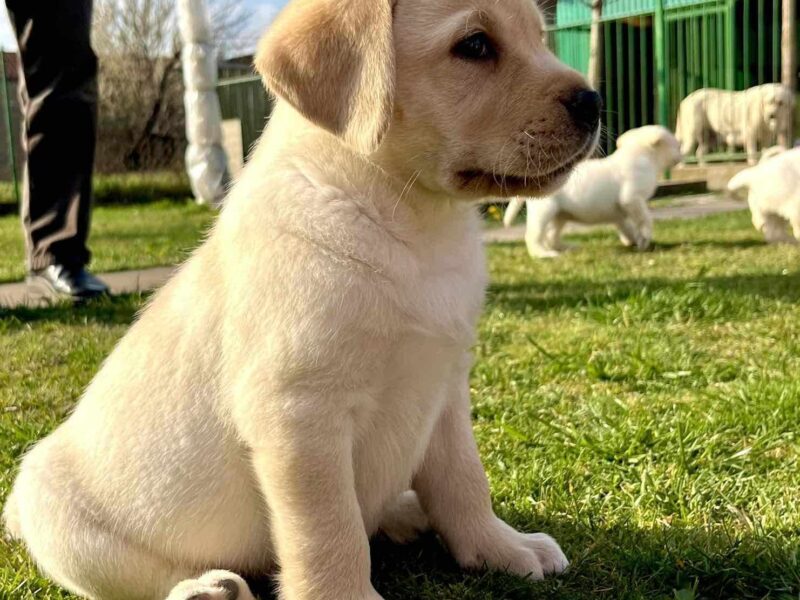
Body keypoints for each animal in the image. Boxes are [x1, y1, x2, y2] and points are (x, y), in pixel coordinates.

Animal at [1, 1, 600, 600]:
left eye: (539, 37)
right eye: (474, 45)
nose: (593, 102)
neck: (407, 224)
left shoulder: (444, 388)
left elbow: (463, 482)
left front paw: (500, 547)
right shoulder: (299, 414)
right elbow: (329, 530)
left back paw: (404, 512)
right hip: (65, 523)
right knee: (148, 577)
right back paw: (208, 588)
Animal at [504, 124, 680, 258]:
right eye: (675, 143)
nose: (681, 148)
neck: (643, 155)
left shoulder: (620, 212)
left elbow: (626, 226)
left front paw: (632, 240)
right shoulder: (632, 199)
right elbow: (644, 219)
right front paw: (644, 240)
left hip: (560, 215)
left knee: (551, 236)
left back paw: (567, 247)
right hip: (544, 210)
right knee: (534, 235)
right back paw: (544, 254)